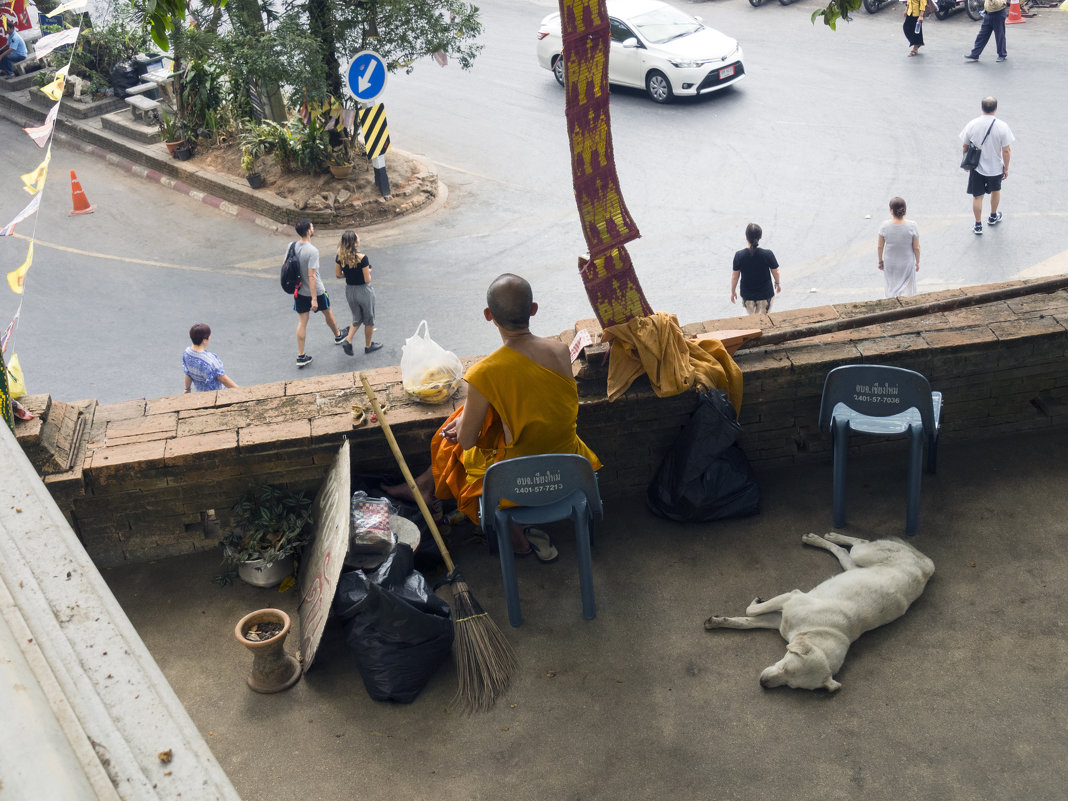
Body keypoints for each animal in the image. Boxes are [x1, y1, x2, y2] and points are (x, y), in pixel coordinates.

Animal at [709, 534, 935, 692]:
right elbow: (750, 612)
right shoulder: (790, 598)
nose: (763, 683)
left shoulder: (781, 619)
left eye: (790, 685)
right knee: (857, 542)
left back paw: (823, 538)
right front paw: (721, 619)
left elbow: (747, 619)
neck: (818, 631)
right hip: (861, 555)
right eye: (785, 666)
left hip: (854, 565)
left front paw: (718, 621)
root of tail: (926, 569)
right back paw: (824, 537)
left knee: (843, 550)